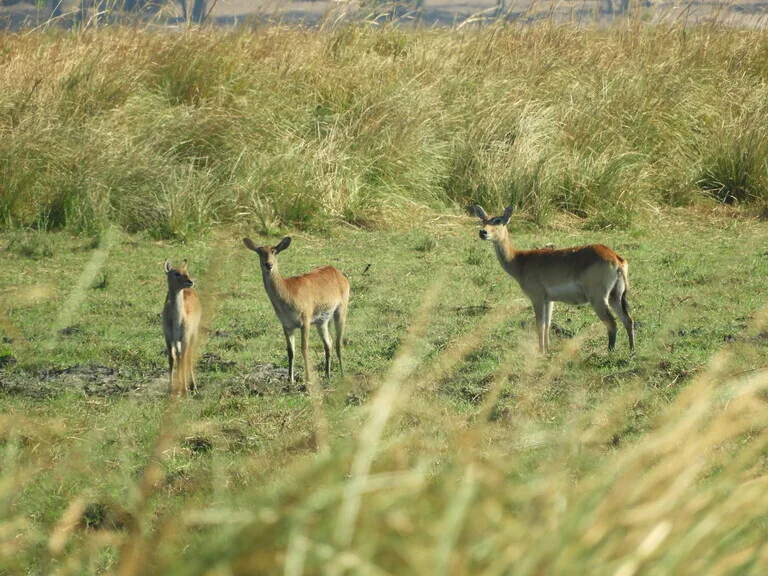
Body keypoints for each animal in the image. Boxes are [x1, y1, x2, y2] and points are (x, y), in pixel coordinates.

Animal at [161, 258, 201, 394]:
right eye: (176, 273)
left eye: (186, 272)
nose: (191, 281)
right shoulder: (168, 337)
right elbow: (172, 359)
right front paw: (171, 388)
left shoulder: (185, 338)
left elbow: (183, 358)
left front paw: (184, 389)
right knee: (179, 356)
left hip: (193, 335)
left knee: (188, 356)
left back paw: (193, 385)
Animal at [243, 236, 352, 384]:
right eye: (260, 252)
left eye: (275, 251)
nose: (268, 264)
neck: (288, 294)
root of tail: (339, 273)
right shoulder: (287, 325)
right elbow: (291, 351)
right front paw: (290, 379)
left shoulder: (305, 320)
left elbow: (304, 348)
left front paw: (308, 379)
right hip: (322, 321)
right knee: (328, 342)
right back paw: (327, 375)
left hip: (341, 310)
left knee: (338, 343)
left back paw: (342, 375)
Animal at [468, 205, 636, 354]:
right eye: (484, 220)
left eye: (498, 220)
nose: (483, 232)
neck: (519, 260)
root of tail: (615, 257)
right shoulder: (549, 300)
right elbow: (547, 324)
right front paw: (547, 350)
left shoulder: (537, 298)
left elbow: (539, 324)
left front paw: (541, 351)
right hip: (615, 296)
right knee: (628, 320)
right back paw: (631, 351)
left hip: (598, 299)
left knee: (612, 323)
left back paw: (610, 352)